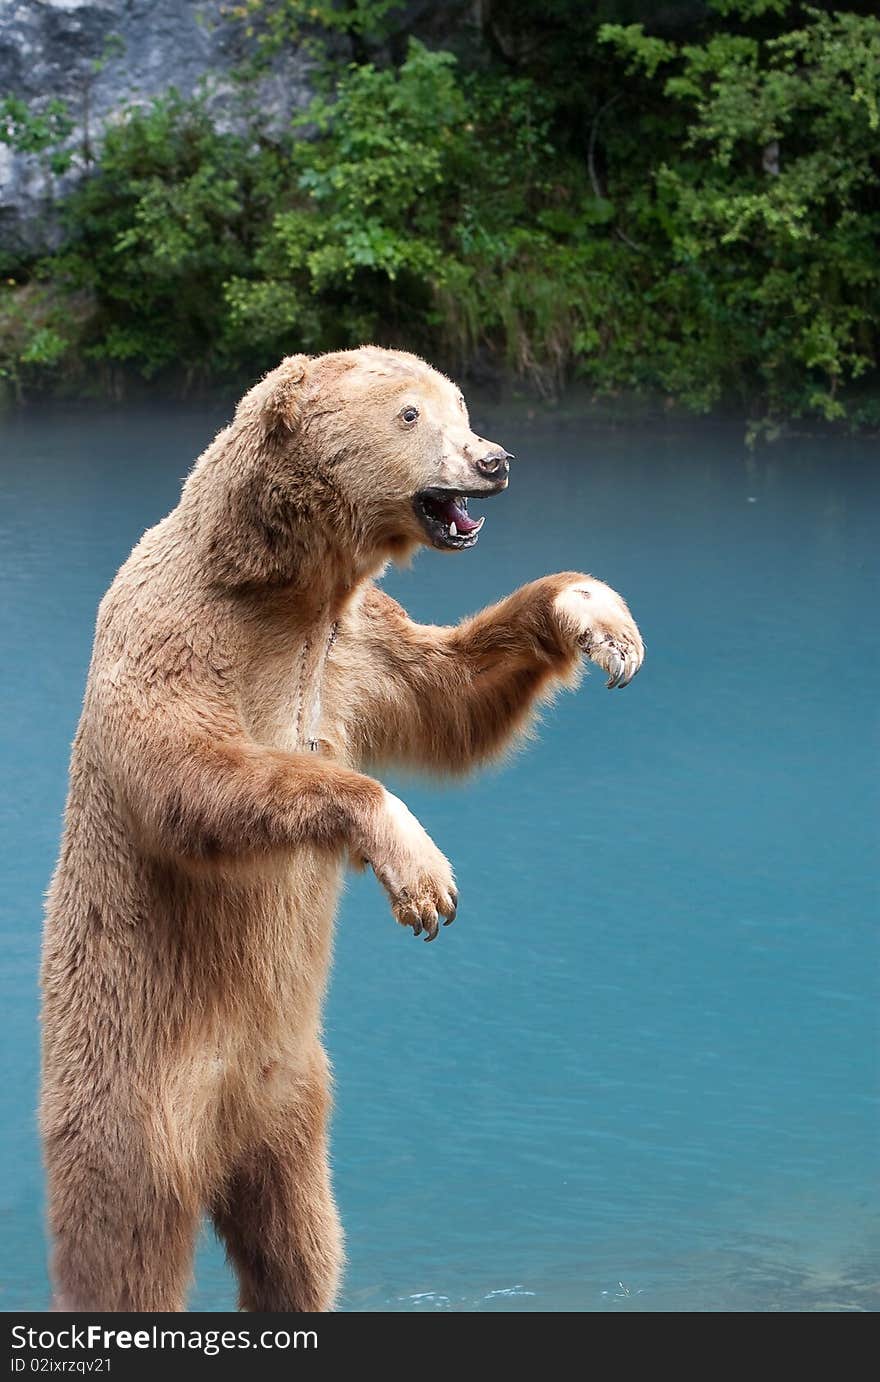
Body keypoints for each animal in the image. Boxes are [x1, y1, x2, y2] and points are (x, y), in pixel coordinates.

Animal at [39, 342, 646, 1304]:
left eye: (458, 404)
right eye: (410, 414)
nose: (494, 460)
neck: (283, 588)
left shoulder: (357, 650)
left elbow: (451, 693)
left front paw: (594, 613)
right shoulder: (174, 634)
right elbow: (192, 778)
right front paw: (421, 874)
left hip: (296, 1096)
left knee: (301, 1240)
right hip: (132, 1079)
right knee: (126, 1241)